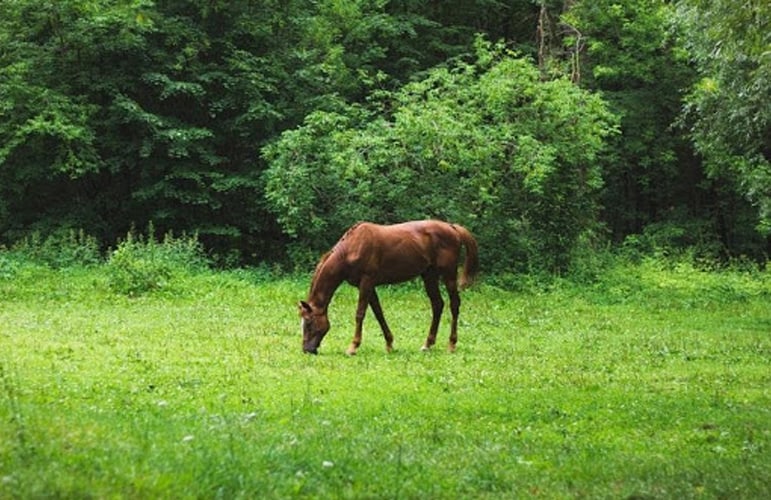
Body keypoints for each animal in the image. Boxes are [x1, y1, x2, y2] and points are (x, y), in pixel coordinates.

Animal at [299, 220, 479, 355]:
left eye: (309, 322)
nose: (307, 350)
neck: (351, 249)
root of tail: (452, 228)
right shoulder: (368, 286)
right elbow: (378, 313)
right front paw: (389, 344)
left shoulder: (366, 282)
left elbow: (360, 314)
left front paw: (353, 347)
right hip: (429, 275)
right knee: (437, 304)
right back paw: (427, 344)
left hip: (449, 275)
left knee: (454, 305)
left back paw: (451, 344)